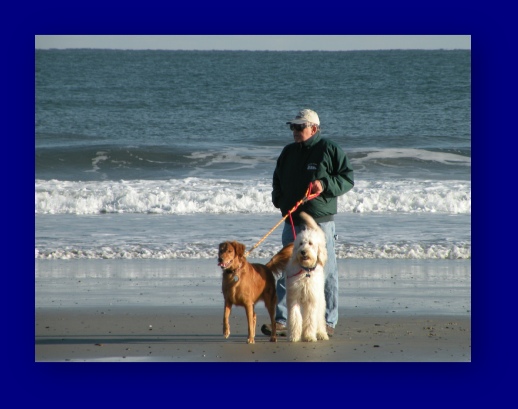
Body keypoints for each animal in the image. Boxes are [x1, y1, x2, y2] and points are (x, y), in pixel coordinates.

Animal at [286, 210, 332, 342]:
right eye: (301, 243)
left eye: (310, 243)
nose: (303, 252)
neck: (306, 272)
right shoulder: (294, 297)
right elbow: (295, 317)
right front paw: (294, 336)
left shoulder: (312, 299)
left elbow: (311, 319)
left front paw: (309, 336)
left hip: (320, 298)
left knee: (319, 318)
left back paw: (322, 333)